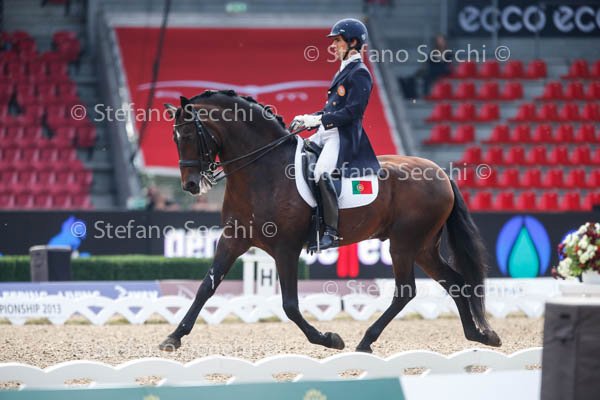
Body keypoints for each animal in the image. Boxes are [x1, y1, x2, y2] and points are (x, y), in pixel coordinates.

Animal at [158, 90, 501, 353]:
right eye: (173, 138)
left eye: (189, 134)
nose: (191, 185)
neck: (263, 169)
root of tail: (440, 172)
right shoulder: (233, 239)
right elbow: (206, 287)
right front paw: (173, 337)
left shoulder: (286, 248)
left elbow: (290, 305)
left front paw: (328, 339)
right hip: (423, 247)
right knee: (454, 282)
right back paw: (479, 335)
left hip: (404, 244)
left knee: (406, 291)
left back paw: (366, 341)